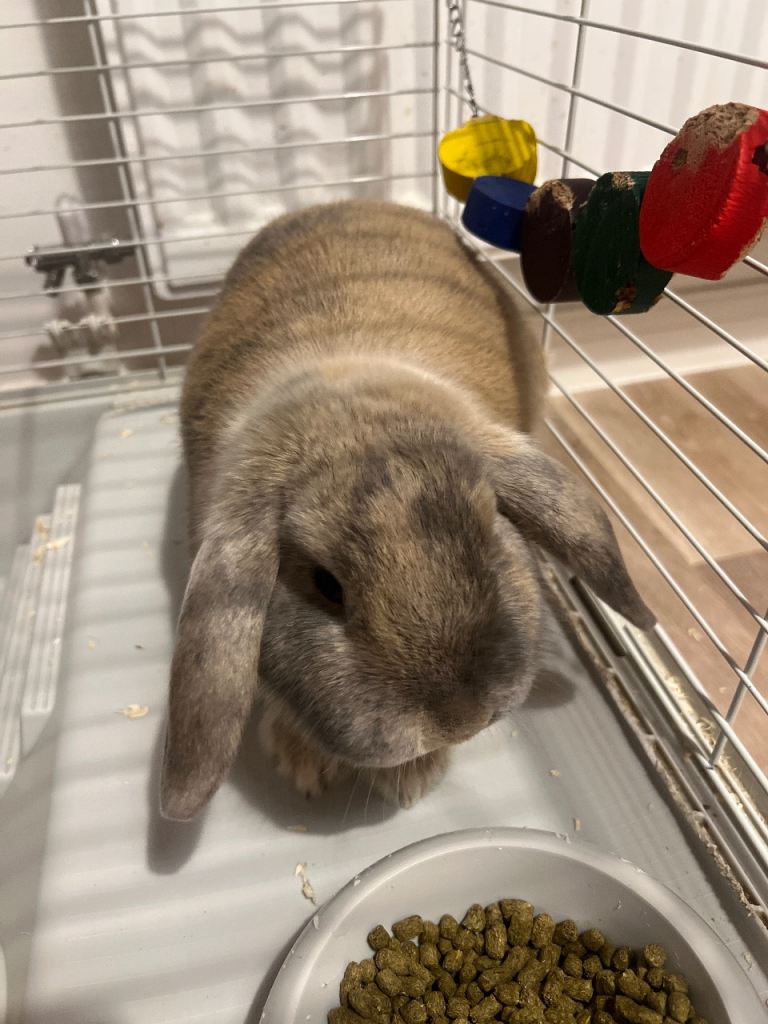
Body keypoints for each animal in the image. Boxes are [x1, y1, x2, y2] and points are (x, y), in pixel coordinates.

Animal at [160, 200, 654, 822]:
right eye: (326, 585)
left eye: (491, 533)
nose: (461, 719)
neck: (343, 398)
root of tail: (359, 204)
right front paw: (305, 768)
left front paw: (413, 778)